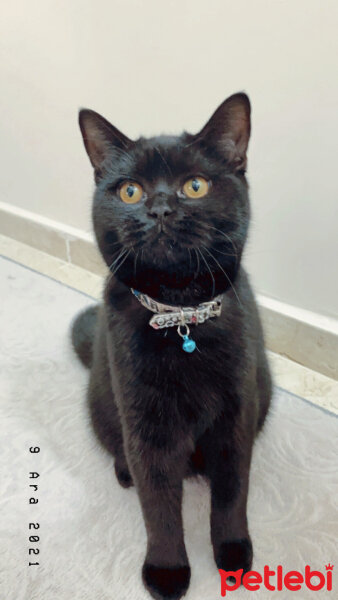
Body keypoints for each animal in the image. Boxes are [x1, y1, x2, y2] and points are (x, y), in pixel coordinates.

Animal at [72, 94, 272, 600]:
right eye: (130, 192)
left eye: (195, 186)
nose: (160, 208)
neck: (180, 315)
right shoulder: (147, 427)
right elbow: (158, 506)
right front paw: (166, 571)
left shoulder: (235, 416)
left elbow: (232, 492)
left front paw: (233, 553)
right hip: (103, 400)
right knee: (119, 450)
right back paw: (123, 471)